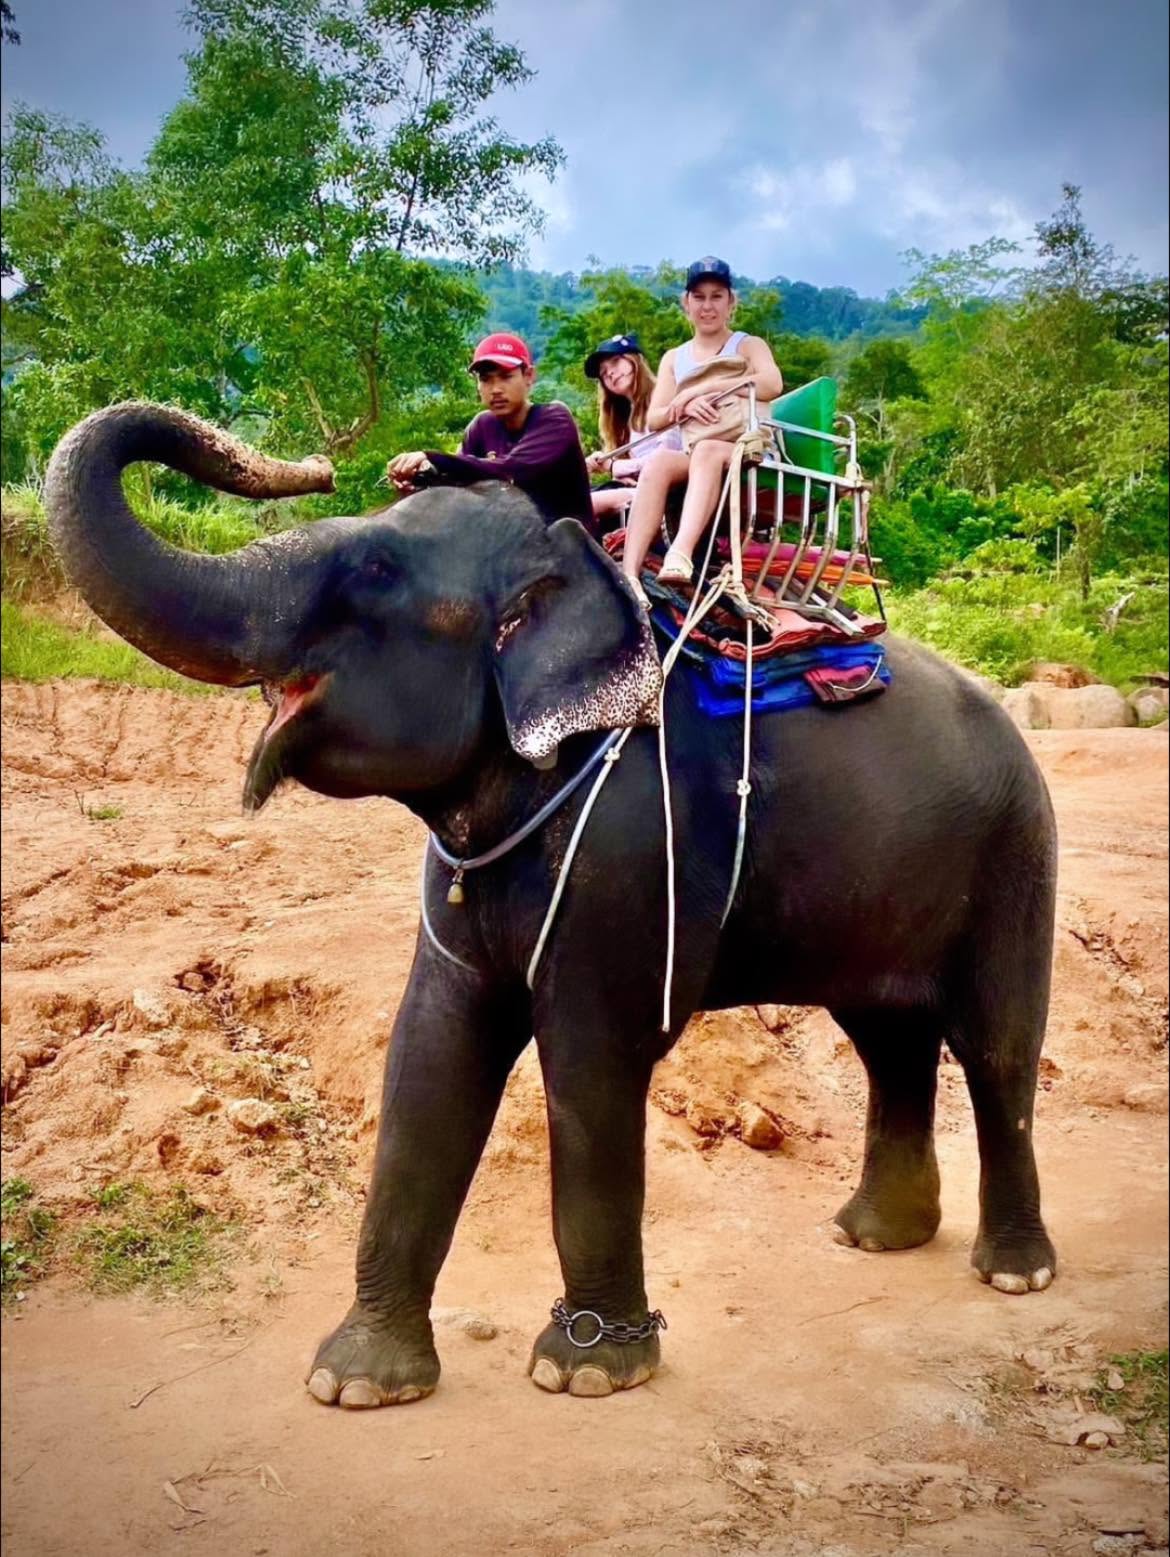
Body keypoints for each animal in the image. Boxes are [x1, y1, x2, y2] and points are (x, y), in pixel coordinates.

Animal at [45, 402, 1058, 1409]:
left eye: (372, 573)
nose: (316, 468)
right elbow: (430, 1054)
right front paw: (355, 1383)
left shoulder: (630, 844)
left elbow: (590, 1058)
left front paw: (587, 1371)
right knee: (889, 1038)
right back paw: (873, 1234)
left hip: (1017, 848)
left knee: (996, 1047)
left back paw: (1014, 1272)